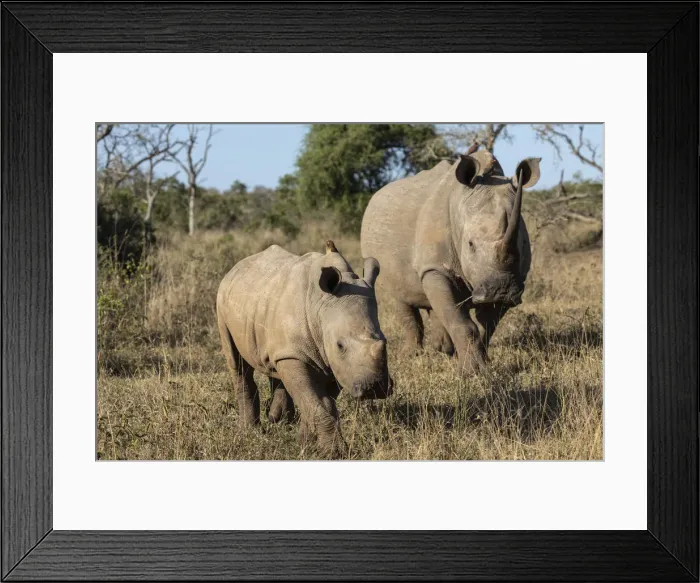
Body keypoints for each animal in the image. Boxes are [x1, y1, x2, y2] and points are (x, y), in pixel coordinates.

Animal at [216, 240, 392, 457]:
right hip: (222, 300)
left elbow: (322, 403)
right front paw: (334, 453)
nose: (375, 388)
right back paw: (250, 430)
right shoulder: (302, 355)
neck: (320, 306)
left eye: (385, 341)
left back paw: (279, 421)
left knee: (274, 363)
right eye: (340, 345)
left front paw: (306, 443)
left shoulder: (334, 363)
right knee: (237, 363)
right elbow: (316, 403)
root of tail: (235, 267)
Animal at [360, 148, 540, 374]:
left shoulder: (513, 278)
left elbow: (485, 326)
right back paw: (412, 354)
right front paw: (472, 373)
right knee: (400, 297)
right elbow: (462, 323)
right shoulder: (435, 268)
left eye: (523, 243)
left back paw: (443, 349)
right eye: (470, 244)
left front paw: (482, 364)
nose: (502, 290)